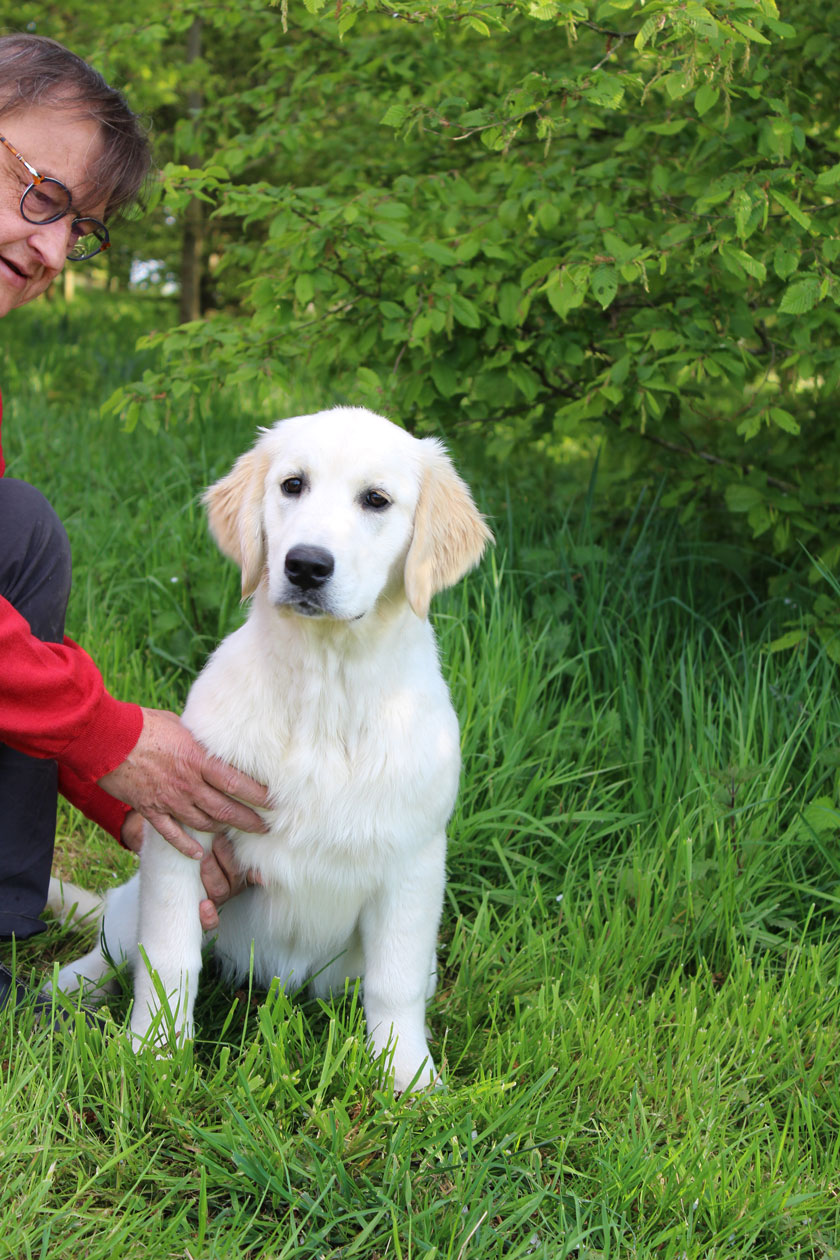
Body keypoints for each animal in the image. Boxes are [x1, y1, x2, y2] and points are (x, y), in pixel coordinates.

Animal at [47, 405, 493, 1093]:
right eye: (292, 485)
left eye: (376, 499)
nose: (306, 565)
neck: (323, 684)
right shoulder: (184, 830)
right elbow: (168, 959)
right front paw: (155, 1058)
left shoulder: (414, 862)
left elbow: (394, 985)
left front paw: (409, 1080)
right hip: (135, 894)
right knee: (114, 942)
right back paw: (67, 988)